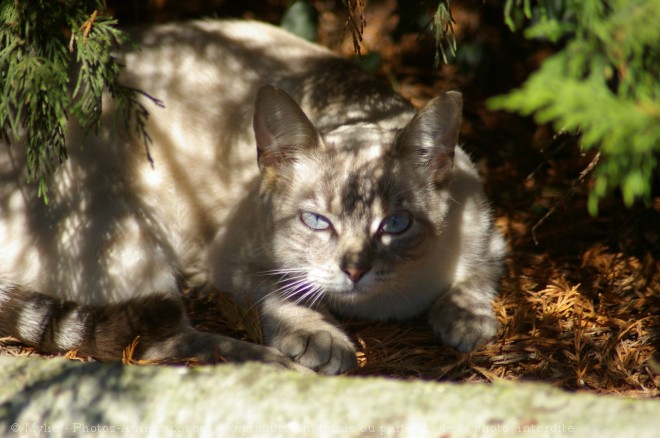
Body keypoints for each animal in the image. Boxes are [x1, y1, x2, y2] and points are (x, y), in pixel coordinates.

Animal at [0, 20, 506, 374]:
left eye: (396, 224)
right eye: (317, 221)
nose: (355, 270)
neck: (379, 308)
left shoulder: (489, 237)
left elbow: (476, 278)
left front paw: (466, 322)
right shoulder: (236, 264)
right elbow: (284, 296)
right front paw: (323, 342)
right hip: (129, 234)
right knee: (160, 341)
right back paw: (272, 363)